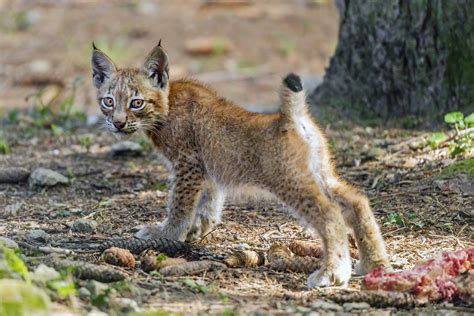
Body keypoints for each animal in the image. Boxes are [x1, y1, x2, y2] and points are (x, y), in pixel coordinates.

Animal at [91, 41, 388, 286]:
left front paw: (167, 234)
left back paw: (332, 273)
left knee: (331, 214)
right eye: (108, 101)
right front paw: (197, 230)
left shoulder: (187, 164)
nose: (117, 124)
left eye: (136, 103)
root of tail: (291, 117)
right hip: (320, 173)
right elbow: (209, 202)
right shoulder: (206, 168)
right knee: (356, 201)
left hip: (290, 180)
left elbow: (181, 205)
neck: (167, 103)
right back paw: (374, 263)